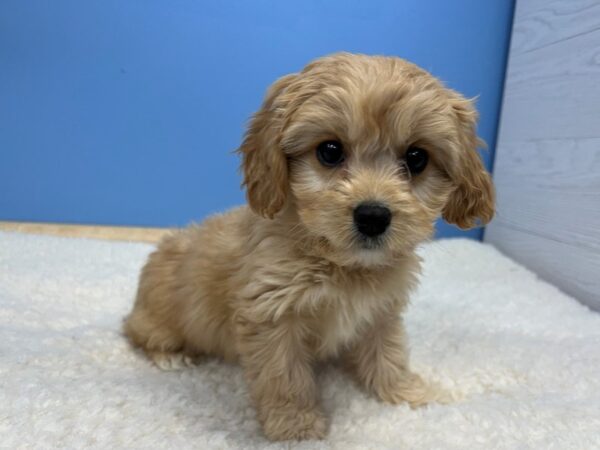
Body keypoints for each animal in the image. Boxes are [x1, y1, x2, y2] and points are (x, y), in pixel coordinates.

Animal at [124, 51, 494, 440]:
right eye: (330, 151)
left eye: (417, 158)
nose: (373, 216)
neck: (340, 263)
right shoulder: (271, 315)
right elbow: (284, 376)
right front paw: (296, 426)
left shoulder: (381, 311)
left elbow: (388, 353)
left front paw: (407, 393)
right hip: (158, 317)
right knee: (137, 333)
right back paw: (170, 356)